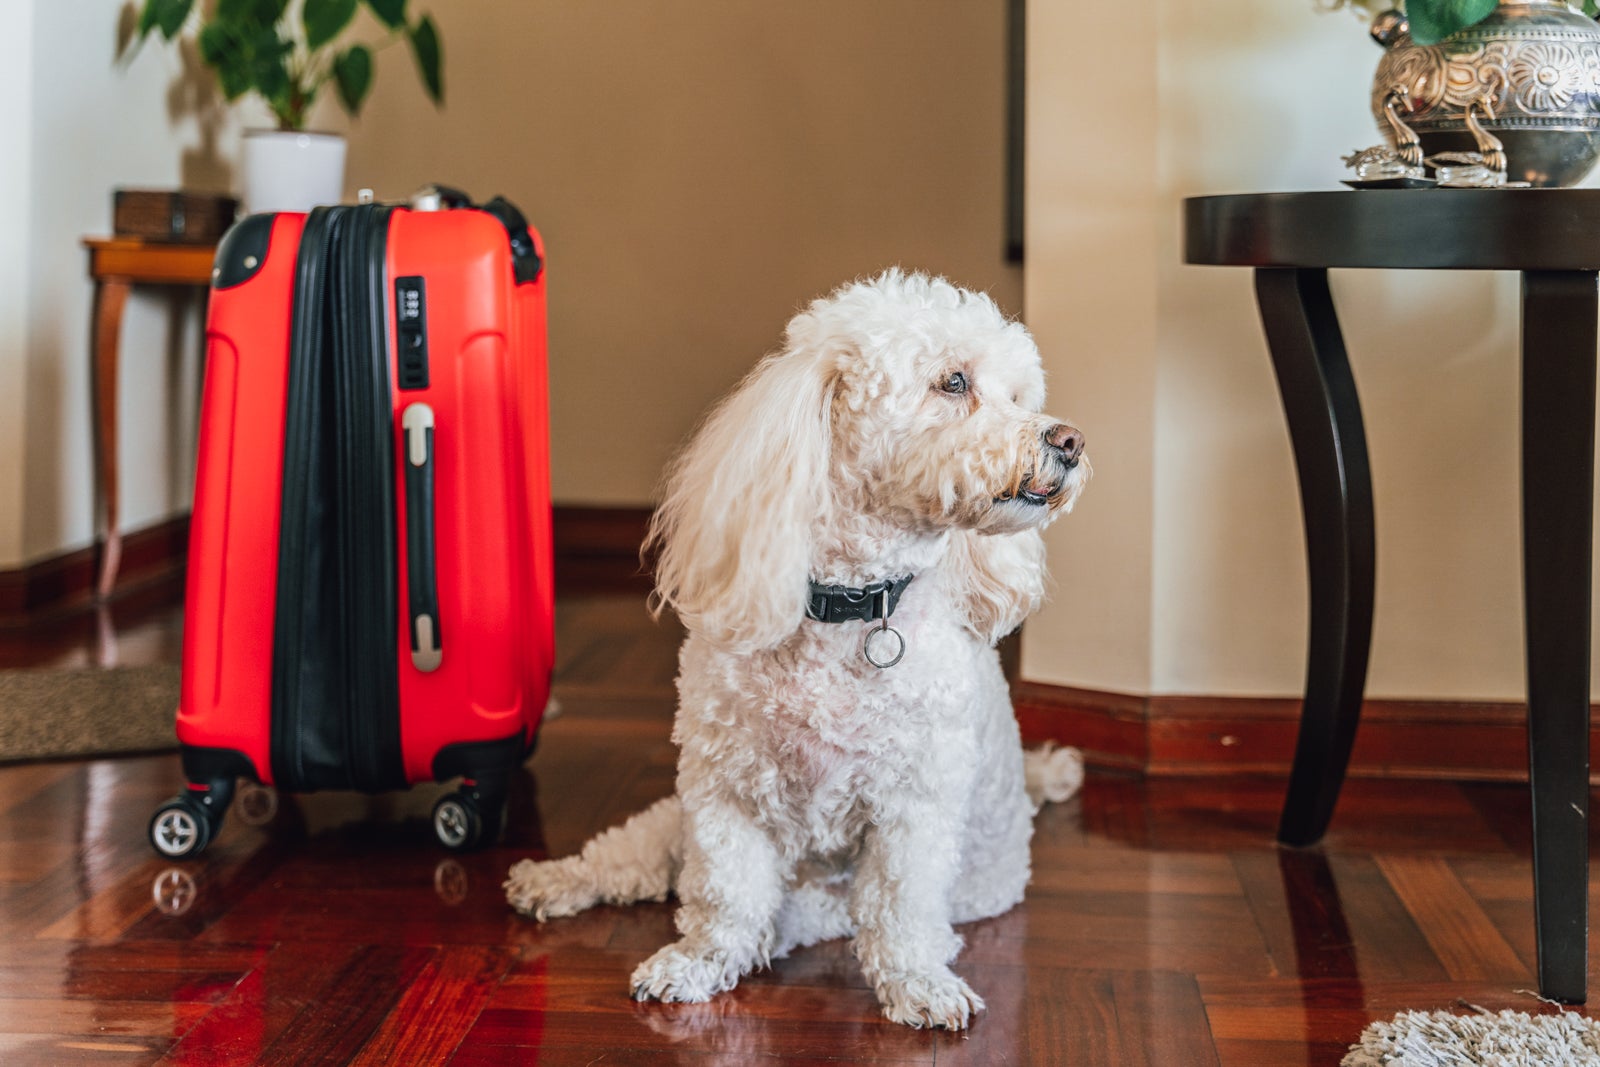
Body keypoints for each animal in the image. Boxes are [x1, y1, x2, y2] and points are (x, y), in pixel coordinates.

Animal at [505, 271, 1094, 1030]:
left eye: (1021, 396)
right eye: (954, 381)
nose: (1069, 439)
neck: (850, 606)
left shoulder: (913, 808)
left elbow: (899, 908)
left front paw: (917, 984)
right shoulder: (722, 790)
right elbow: (726, 891)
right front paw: (699, 960)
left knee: (818, 909)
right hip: (678, 811)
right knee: (636, 853)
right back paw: (553, 879)